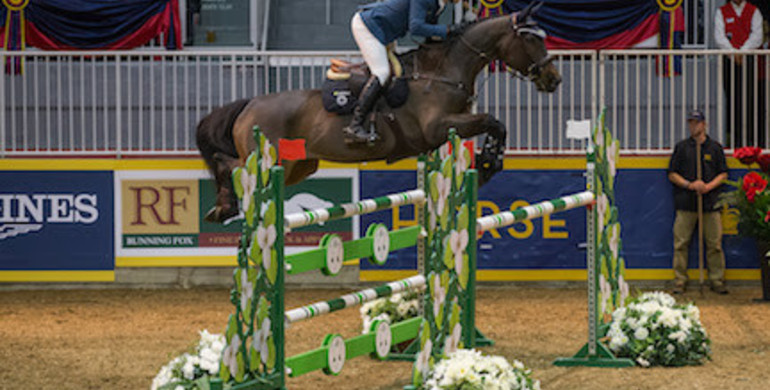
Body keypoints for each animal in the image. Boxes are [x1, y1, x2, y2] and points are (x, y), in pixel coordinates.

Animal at [198, 3, 560, 222]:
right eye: (531, 40)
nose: (554, 79)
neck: (442, 72)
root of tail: (250, 104)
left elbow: (496, 124)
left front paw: (488, 162)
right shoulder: (437, 127)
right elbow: (493, 121)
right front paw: (488, 162)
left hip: (298, 165)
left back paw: (223, 208)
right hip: (269, 160)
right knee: (229, 164)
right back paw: (223, 205)